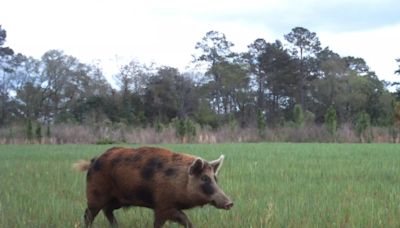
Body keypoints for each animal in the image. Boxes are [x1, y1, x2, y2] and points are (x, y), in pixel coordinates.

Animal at [73, 147, 233, 227]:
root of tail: (93, 161)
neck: (180, 182)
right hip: (95, 194)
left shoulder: (162, 207)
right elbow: (181, 219)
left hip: (118, 200)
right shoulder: (163, 205)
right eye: (204, 178)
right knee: (89, 214)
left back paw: (117, 226)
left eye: (215, 179)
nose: (230, 203)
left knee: (107, 210)